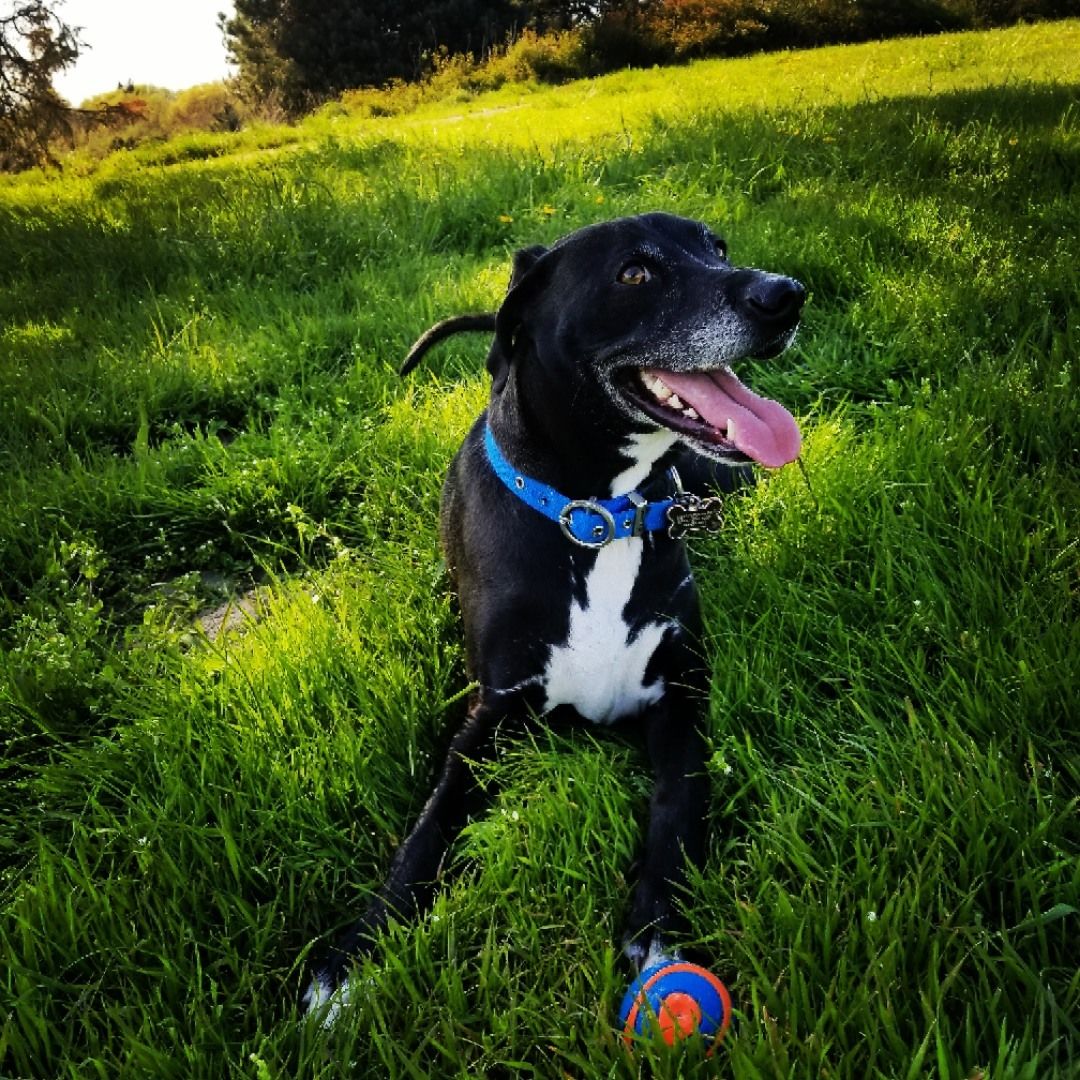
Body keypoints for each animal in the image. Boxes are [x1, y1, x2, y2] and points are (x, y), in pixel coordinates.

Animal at [304, 211, 805, 1018]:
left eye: (718, 247)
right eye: (635, 272)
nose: (785, 295)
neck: (596, 519)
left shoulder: (682, 694)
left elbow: (677, 806)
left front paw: (657, 935)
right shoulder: (489, 716)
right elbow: (426, 831)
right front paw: (349, 960)